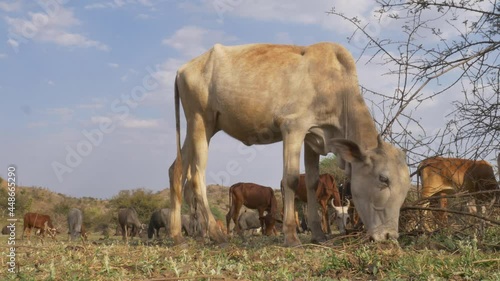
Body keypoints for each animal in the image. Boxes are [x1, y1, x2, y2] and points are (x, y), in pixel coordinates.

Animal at [168, 41, 410, 245]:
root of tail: (184, 68)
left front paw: (319, 234)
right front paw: (292, 237)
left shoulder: (313, 138)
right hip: (200, 121)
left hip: (200, 127)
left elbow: (311, 182)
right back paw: (216, 234)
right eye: (383, 179)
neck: (335, 88)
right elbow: (292, 179)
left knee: (176, 170)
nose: (390, 235)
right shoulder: (293, 128)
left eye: (406, 185)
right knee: (196, 175)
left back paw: (177, 235)